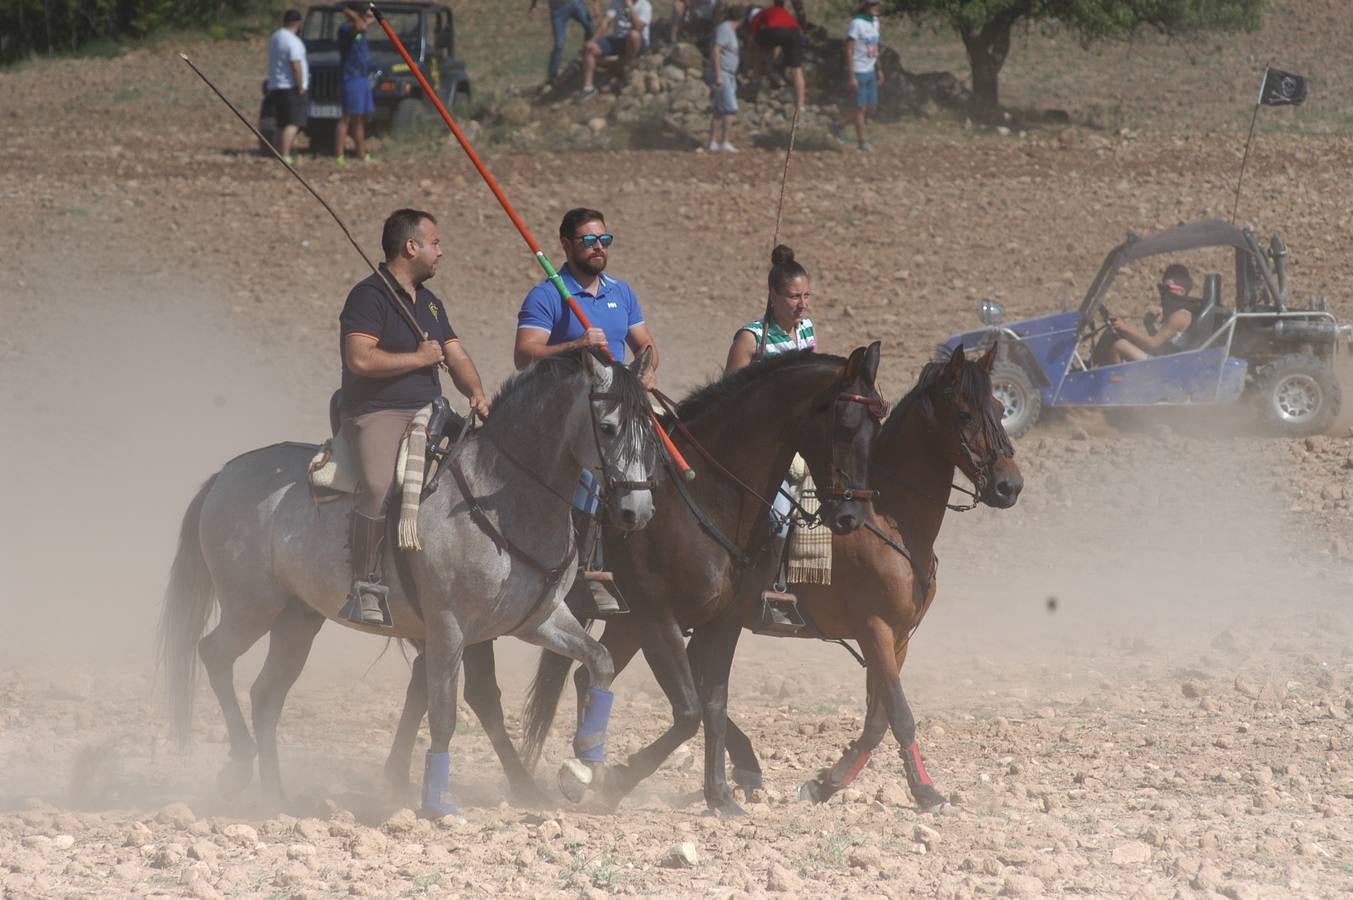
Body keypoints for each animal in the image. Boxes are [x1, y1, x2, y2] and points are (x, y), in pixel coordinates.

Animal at [159, 346, 660, 812]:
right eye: (609, 426)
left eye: (651, 430)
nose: (636, 510)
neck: (501, 498)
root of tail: (225, 474)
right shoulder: (449, 629)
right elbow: (444, 712)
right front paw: (438, 801)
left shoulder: (539, 620)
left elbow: (599, 662)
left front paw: (585, 766)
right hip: (252, 608)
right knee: (215, 654)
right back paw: (241, 765)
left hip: (297, 619)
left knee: (266, 694)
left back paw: (275, 797)